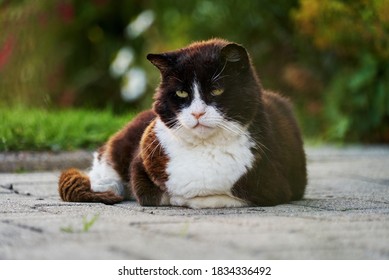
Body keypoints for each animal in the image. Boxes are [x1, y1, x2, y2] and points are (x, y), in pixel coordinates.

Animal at [58, 38, 306, 208]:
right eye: (181, 93)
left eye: (216, 90)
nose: (197, 113)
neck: (203, 148)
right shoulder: (142, 161)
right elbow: (154, 194)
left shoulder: (272, 187)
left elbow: (218, 196)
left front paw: (186, 197)